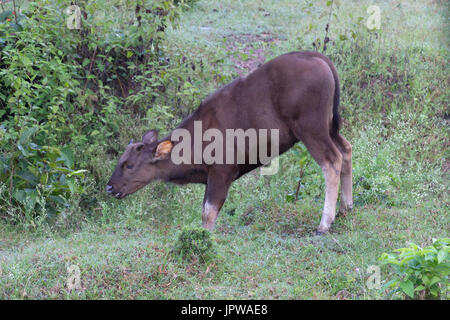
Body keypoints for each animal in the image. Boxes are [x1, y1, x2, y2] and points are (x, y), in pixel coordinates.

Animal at [107, 51, 354, 234]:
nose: (110, 187)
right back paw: (346, 208)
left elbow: (208, 212)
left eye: (129, 165)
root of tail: (319, 58)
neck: (196, 138)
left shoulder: (221, 172)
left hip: (311, 128)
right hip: (330, 127)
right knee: (346, 150)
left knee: (332, 161)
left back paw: (325, 223)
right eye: (120, 161)